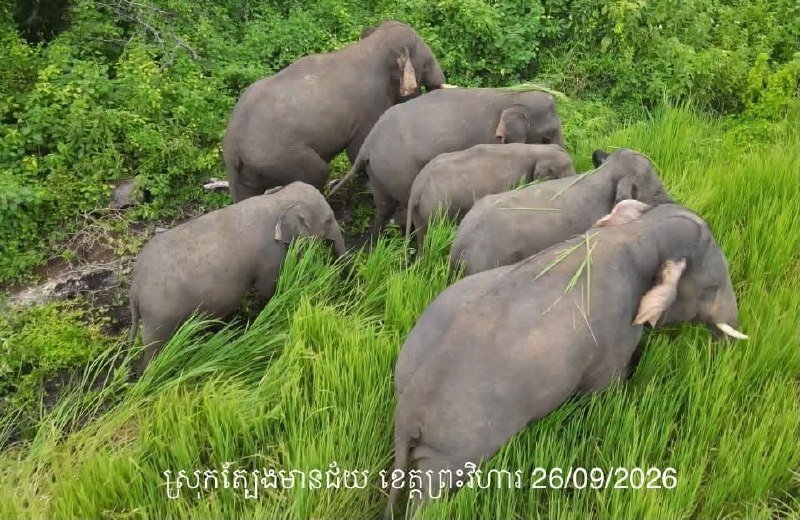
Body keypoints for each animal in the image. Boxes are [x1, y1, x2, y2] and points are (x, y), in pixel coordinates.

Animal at [127, 182, 345, 373]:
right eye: (328, 220)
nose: (341, 280)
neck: (278, 199)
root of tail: (135, 285)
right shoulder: (270, 258)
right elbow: (267, 289)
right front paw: (263, 316)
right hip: (160, 315)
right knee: (155, 349)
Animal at [223, 20, 445, 202]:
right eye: (426, 64)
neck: (373, 45)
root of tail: (232, 147)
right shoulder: (369, 108)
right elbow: (356, 148)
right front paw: (367, 185)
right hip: (281, 158)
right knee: (317, 173)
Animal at [327, 87, 566, 241]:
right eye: (547, 137)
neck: (511, 96)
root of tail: (368, 142)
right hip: (398, 170)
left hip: (378, 172)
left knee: (383, 208)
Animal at [385, 202, 748, 517]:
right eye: (711, 287)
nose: (723, 350)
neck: (637, 234)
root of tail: (406, 410)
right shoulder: (611, 345)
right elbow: (605, 390)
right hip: (455, 448)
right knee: (430, 494)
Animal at [405, 143, 575, 247]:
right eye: (566, 170)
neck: (537, 149)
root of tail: (416, 188)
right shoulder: (514, 179)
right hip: (435, 209)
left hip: (420, 213)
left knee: (422, 237)